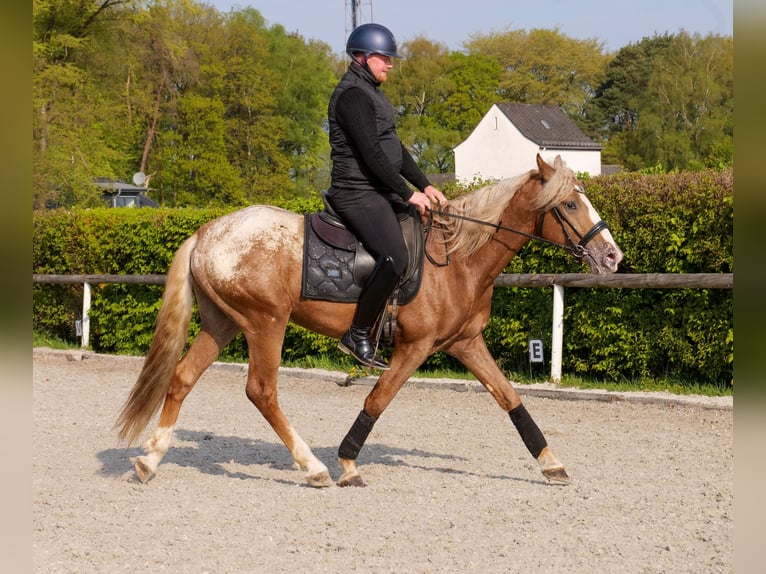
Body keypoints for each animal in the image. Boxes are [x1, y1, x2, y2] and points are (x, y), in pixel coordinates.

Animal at [115, 154, 623, 487]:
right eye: (570, 205)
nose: (612, 256)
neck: (456, 258)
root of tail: (205, 233)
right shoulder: (415, 348)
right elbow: (378, 400)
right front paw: (347, 463)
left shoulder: (464, 343)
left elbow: (510, 398)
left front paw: (551, 463)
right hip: (265, 323)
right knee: (261, 391)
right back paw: (314, 467)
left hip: (223, 323)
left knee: (182, 378)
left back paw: (150, 460)